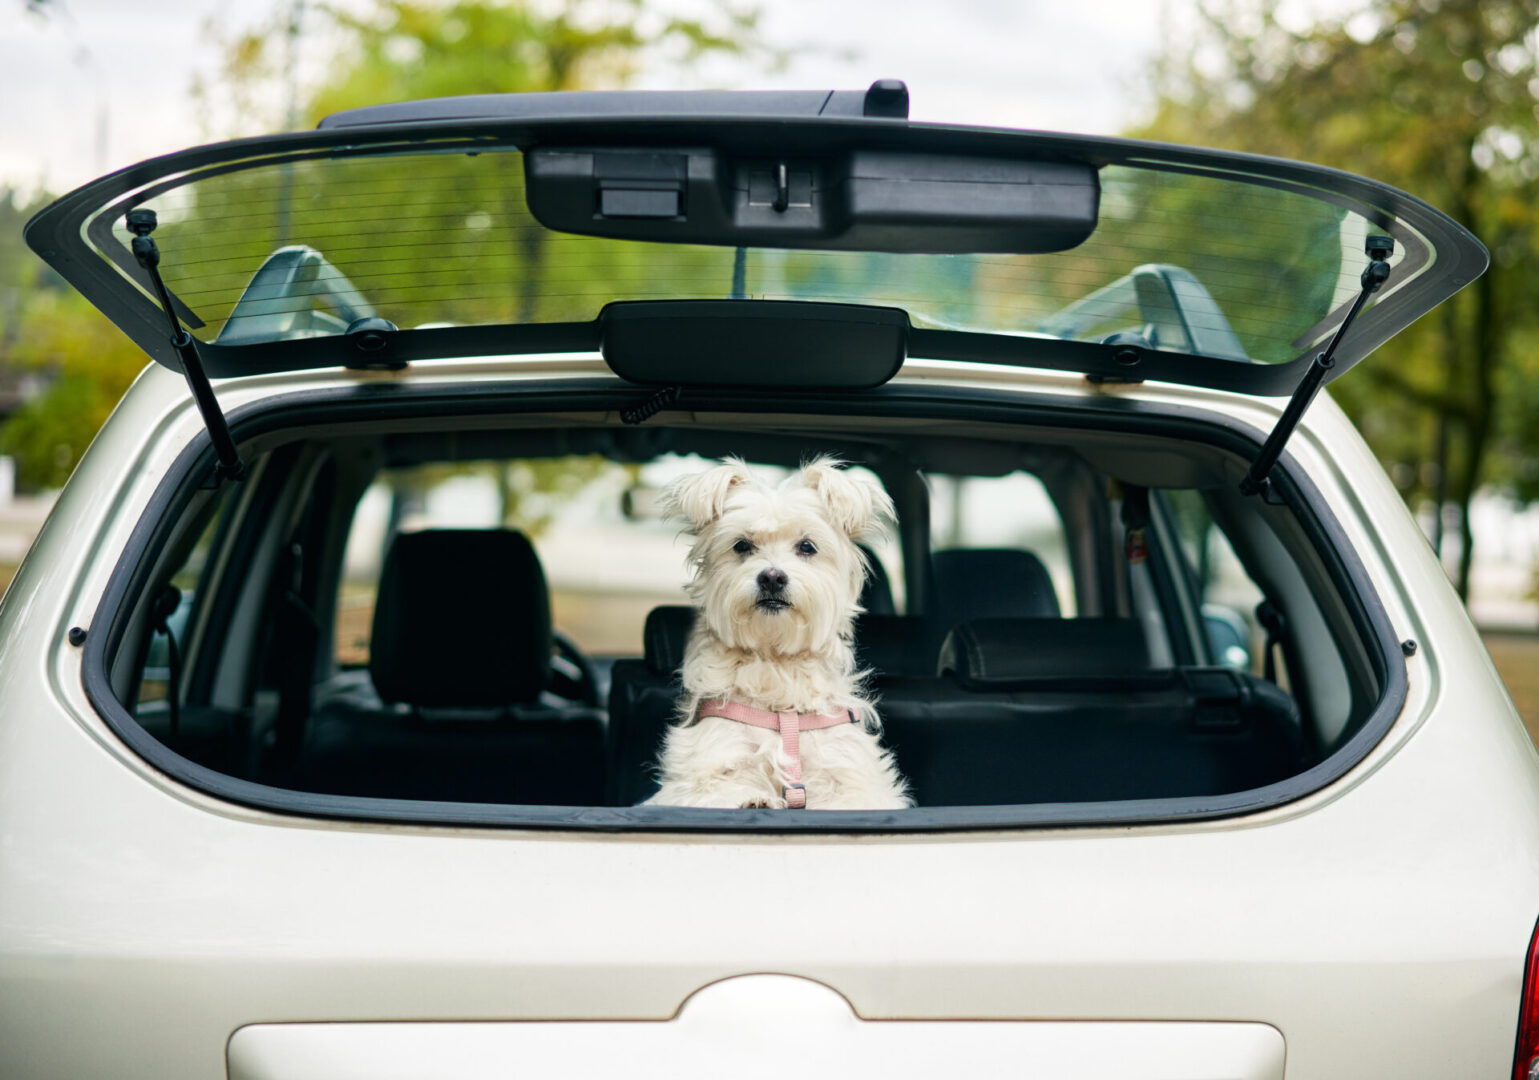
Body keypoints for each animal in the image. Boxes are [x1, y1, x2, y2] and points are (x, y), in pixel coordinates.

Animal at [640, 455, 904, 812]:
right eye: (741, 545)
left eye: (807, 546)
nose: (772, 578)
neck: (776, 663)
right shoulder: (704, 766)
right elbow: (714, 789)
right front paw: (754, 800)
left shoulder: (852, 776)